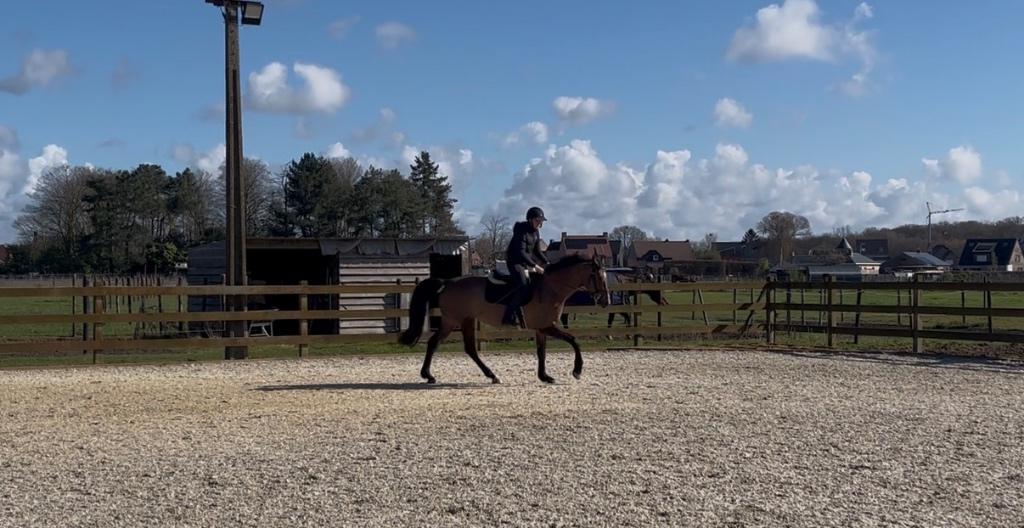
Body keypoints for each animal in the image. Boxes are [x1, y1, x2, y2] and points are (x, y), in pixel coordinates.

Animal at [398, 255, 611, 384]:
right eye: (599, 277)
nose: (606, 301)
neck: (551, 288)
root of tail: (448, 282)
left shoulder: (541, 328)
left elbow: (541, 352)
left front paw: (544, 376)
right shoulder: (547, 326)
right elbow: (573, 341)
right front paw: (577, 370)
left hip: (465, 321)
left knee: (466, 348)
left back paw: (488, 375)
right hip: (454, 321)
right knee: (438, 343)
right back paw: (430, 375)